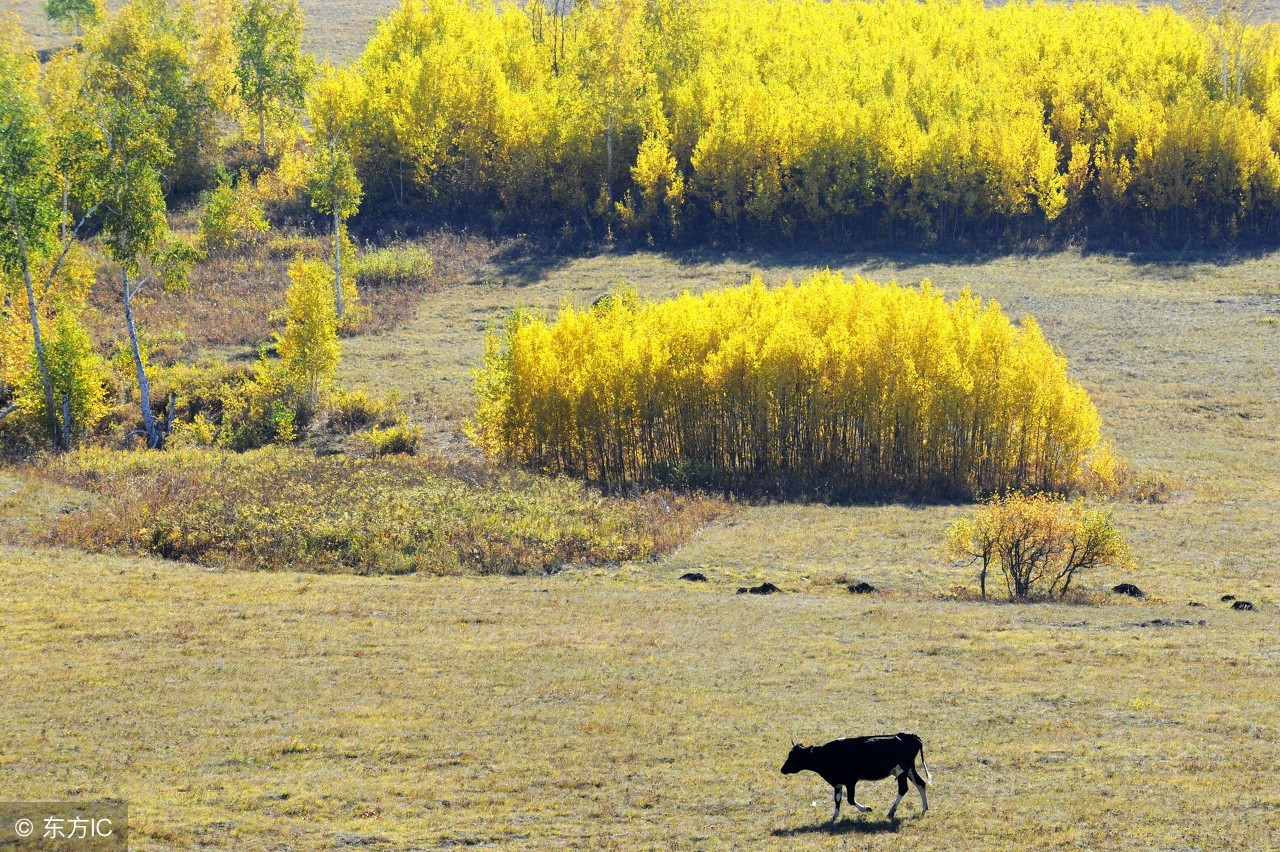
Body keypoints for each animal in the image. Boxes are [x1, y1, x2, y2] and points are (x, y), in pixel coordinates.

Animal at [778, 726, 931, 818]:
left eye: (795, 757)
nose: (782, 769)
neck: (827, 755)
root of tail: (911, 736)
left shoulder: (851, 780)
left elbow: (850, 800)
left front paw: (866, 808)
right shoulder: (837, 782)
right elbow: (837, 798)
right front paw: (834, 816)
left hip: (902, 770)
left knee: (903, 789)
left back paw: (891, 812)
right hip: (909, 769)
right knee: (921, 784)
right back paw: (924, 808)